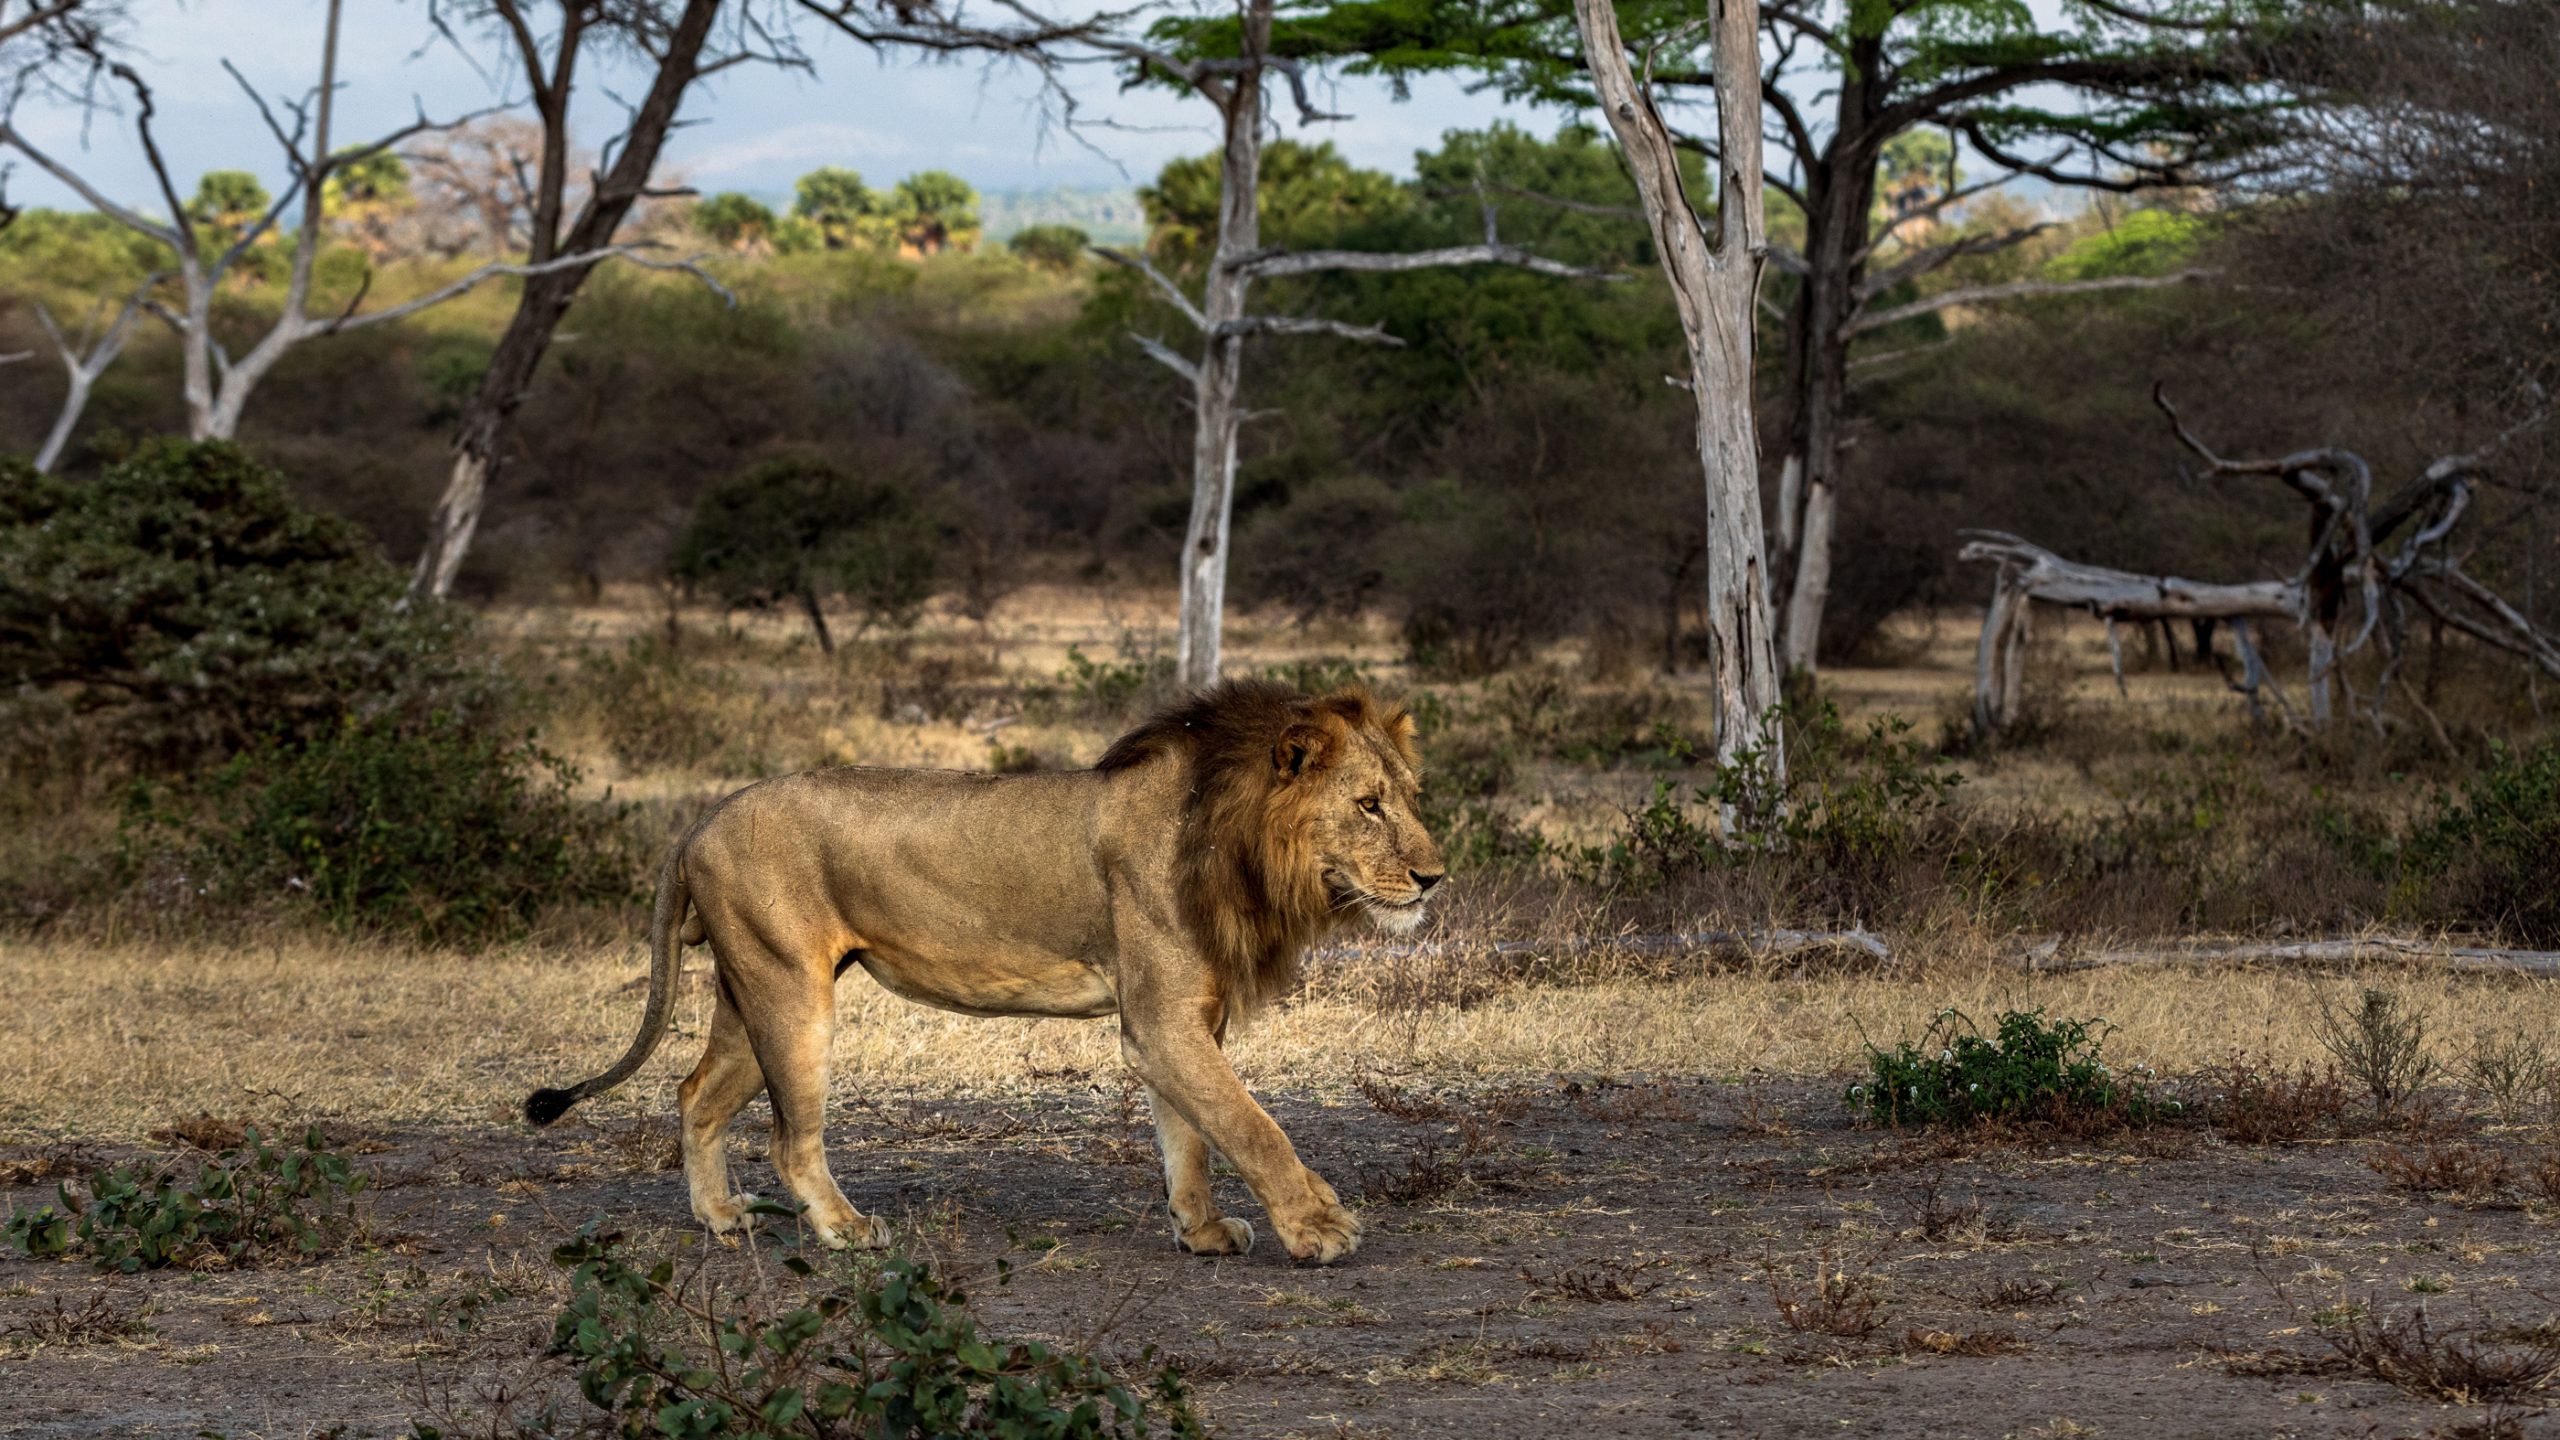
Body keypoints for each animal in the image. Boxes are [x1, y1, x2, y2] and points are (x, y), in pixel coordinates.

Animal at [525, 680, 1445, 1264]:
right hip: (790, 994)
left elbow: (1191, 1133)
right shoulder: (1162, 1020)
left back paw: (720, 1219)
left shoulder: (1184, 1021)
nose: (1435, 877)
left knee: (695, 1094)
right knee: (790, 1137)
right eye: (1368, 805)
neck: (1239, 841)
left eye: (1411, 797)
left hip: (747, 988)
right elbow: (1252, 1126)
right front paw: (1318, 1227)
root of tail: (701, 819)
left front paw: (1204, 1232)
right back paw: (846, 1231)